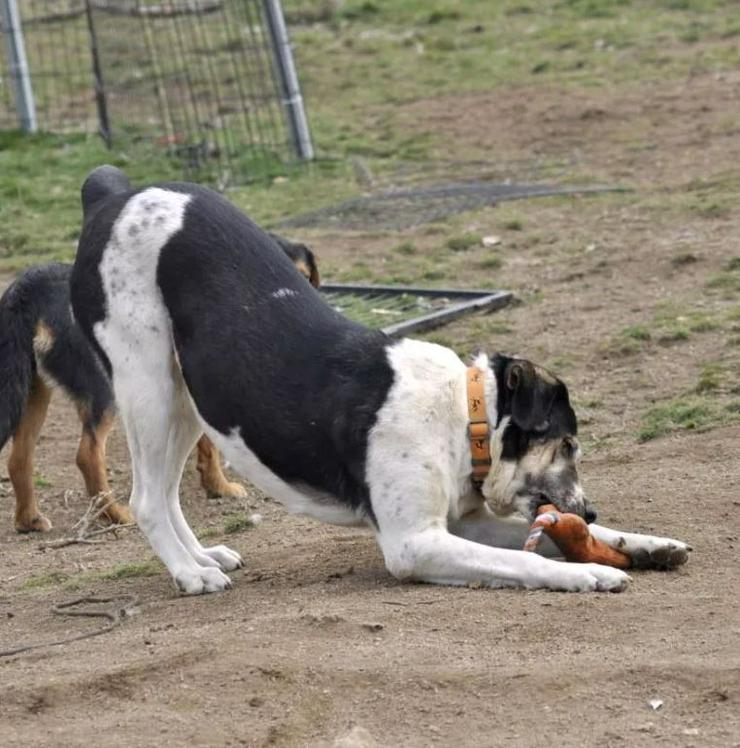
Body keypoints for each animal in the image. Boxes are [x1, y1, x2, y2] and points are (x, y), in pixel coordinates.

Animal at [0, 215, 318, 532]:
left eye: (305, 275)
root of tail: (29, 287)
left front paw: (213, 486)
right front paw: (221, 486)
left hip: (31, 394)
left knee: (19, 458)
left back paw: (29, 519)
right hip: (104, 390)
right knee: (87, 455)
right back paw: (114, 514)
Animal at [71, 165, 688, 596]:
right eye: (567, 444)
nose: (589, 512)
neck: (464, 416)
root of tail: (112, 194)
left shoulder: (463, 524)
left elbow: (566, 543)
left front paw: (647, 545)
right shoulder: (414, 543)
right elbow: (525, 560)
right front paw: (590, 575)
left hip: (187, 398)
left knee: (167, 491)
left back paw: (203, 558)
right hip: (148, 386)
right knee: (147, 497)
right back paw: (191, 575)